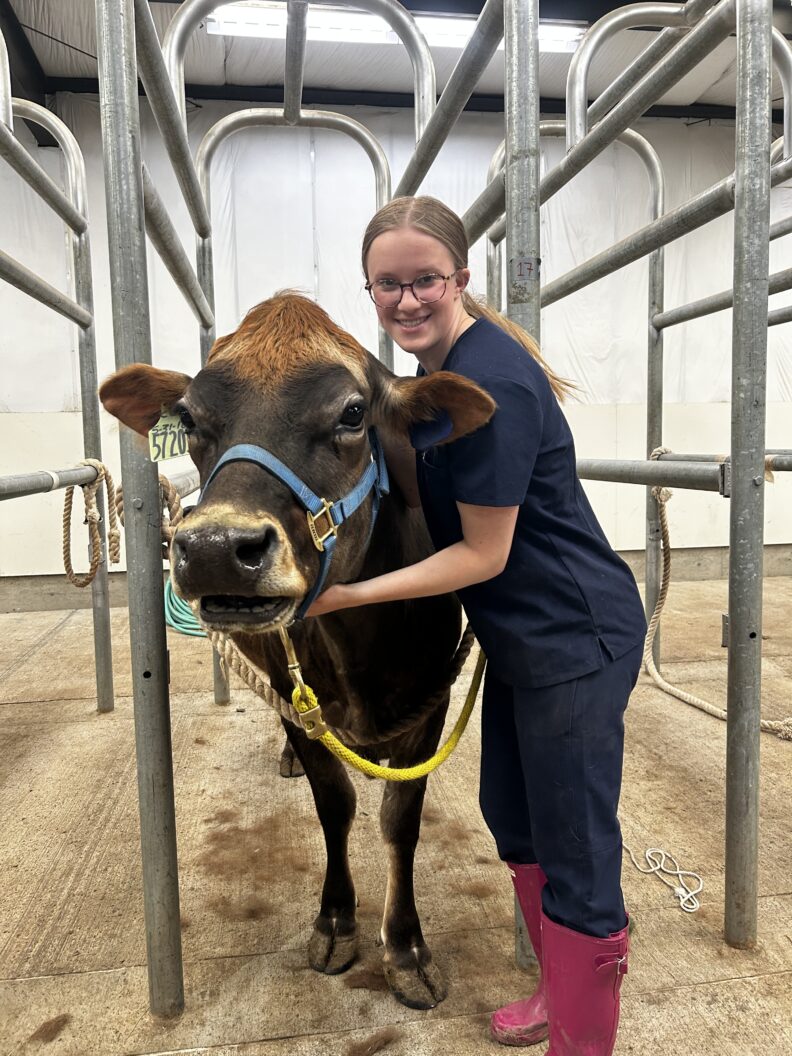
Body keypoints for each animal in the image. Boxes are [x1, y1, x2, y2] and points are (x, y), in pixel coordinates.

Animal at [100, 292, 494, 1009]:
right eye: (190, 418)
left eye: (353, 413)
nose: (216, 548)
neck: (359, 646)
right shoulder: (296, 697)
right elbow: (333, 802)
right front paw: (336, 922)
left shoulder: (430, 701)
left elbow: (400, 819)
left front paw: (407, 949)